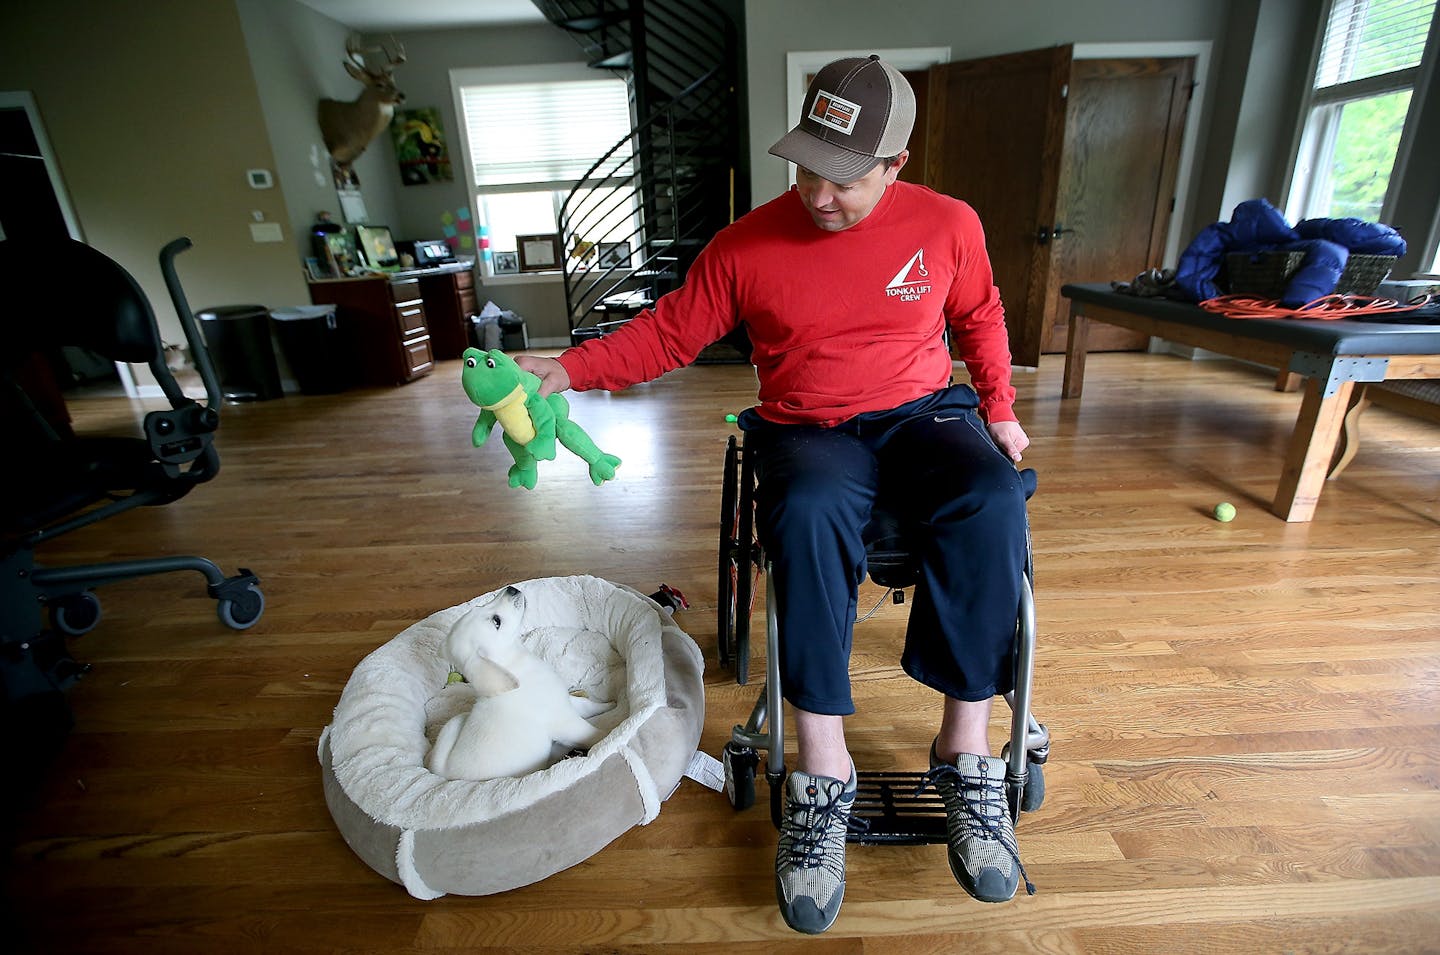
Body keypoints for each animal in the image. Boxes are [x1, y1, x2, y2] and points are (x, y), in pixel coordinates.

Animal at [420, 587, 613, 783]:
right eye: (496, 621)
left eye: (480, 607)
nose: (511, 589)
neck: (514, 665)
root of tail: (441, 774)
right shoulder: (564, 721)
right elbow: (592, 733)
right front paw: (610, 735)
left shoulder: (562, 702)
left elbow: (588, 705)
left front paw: (610, 704)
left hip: (455, 722)